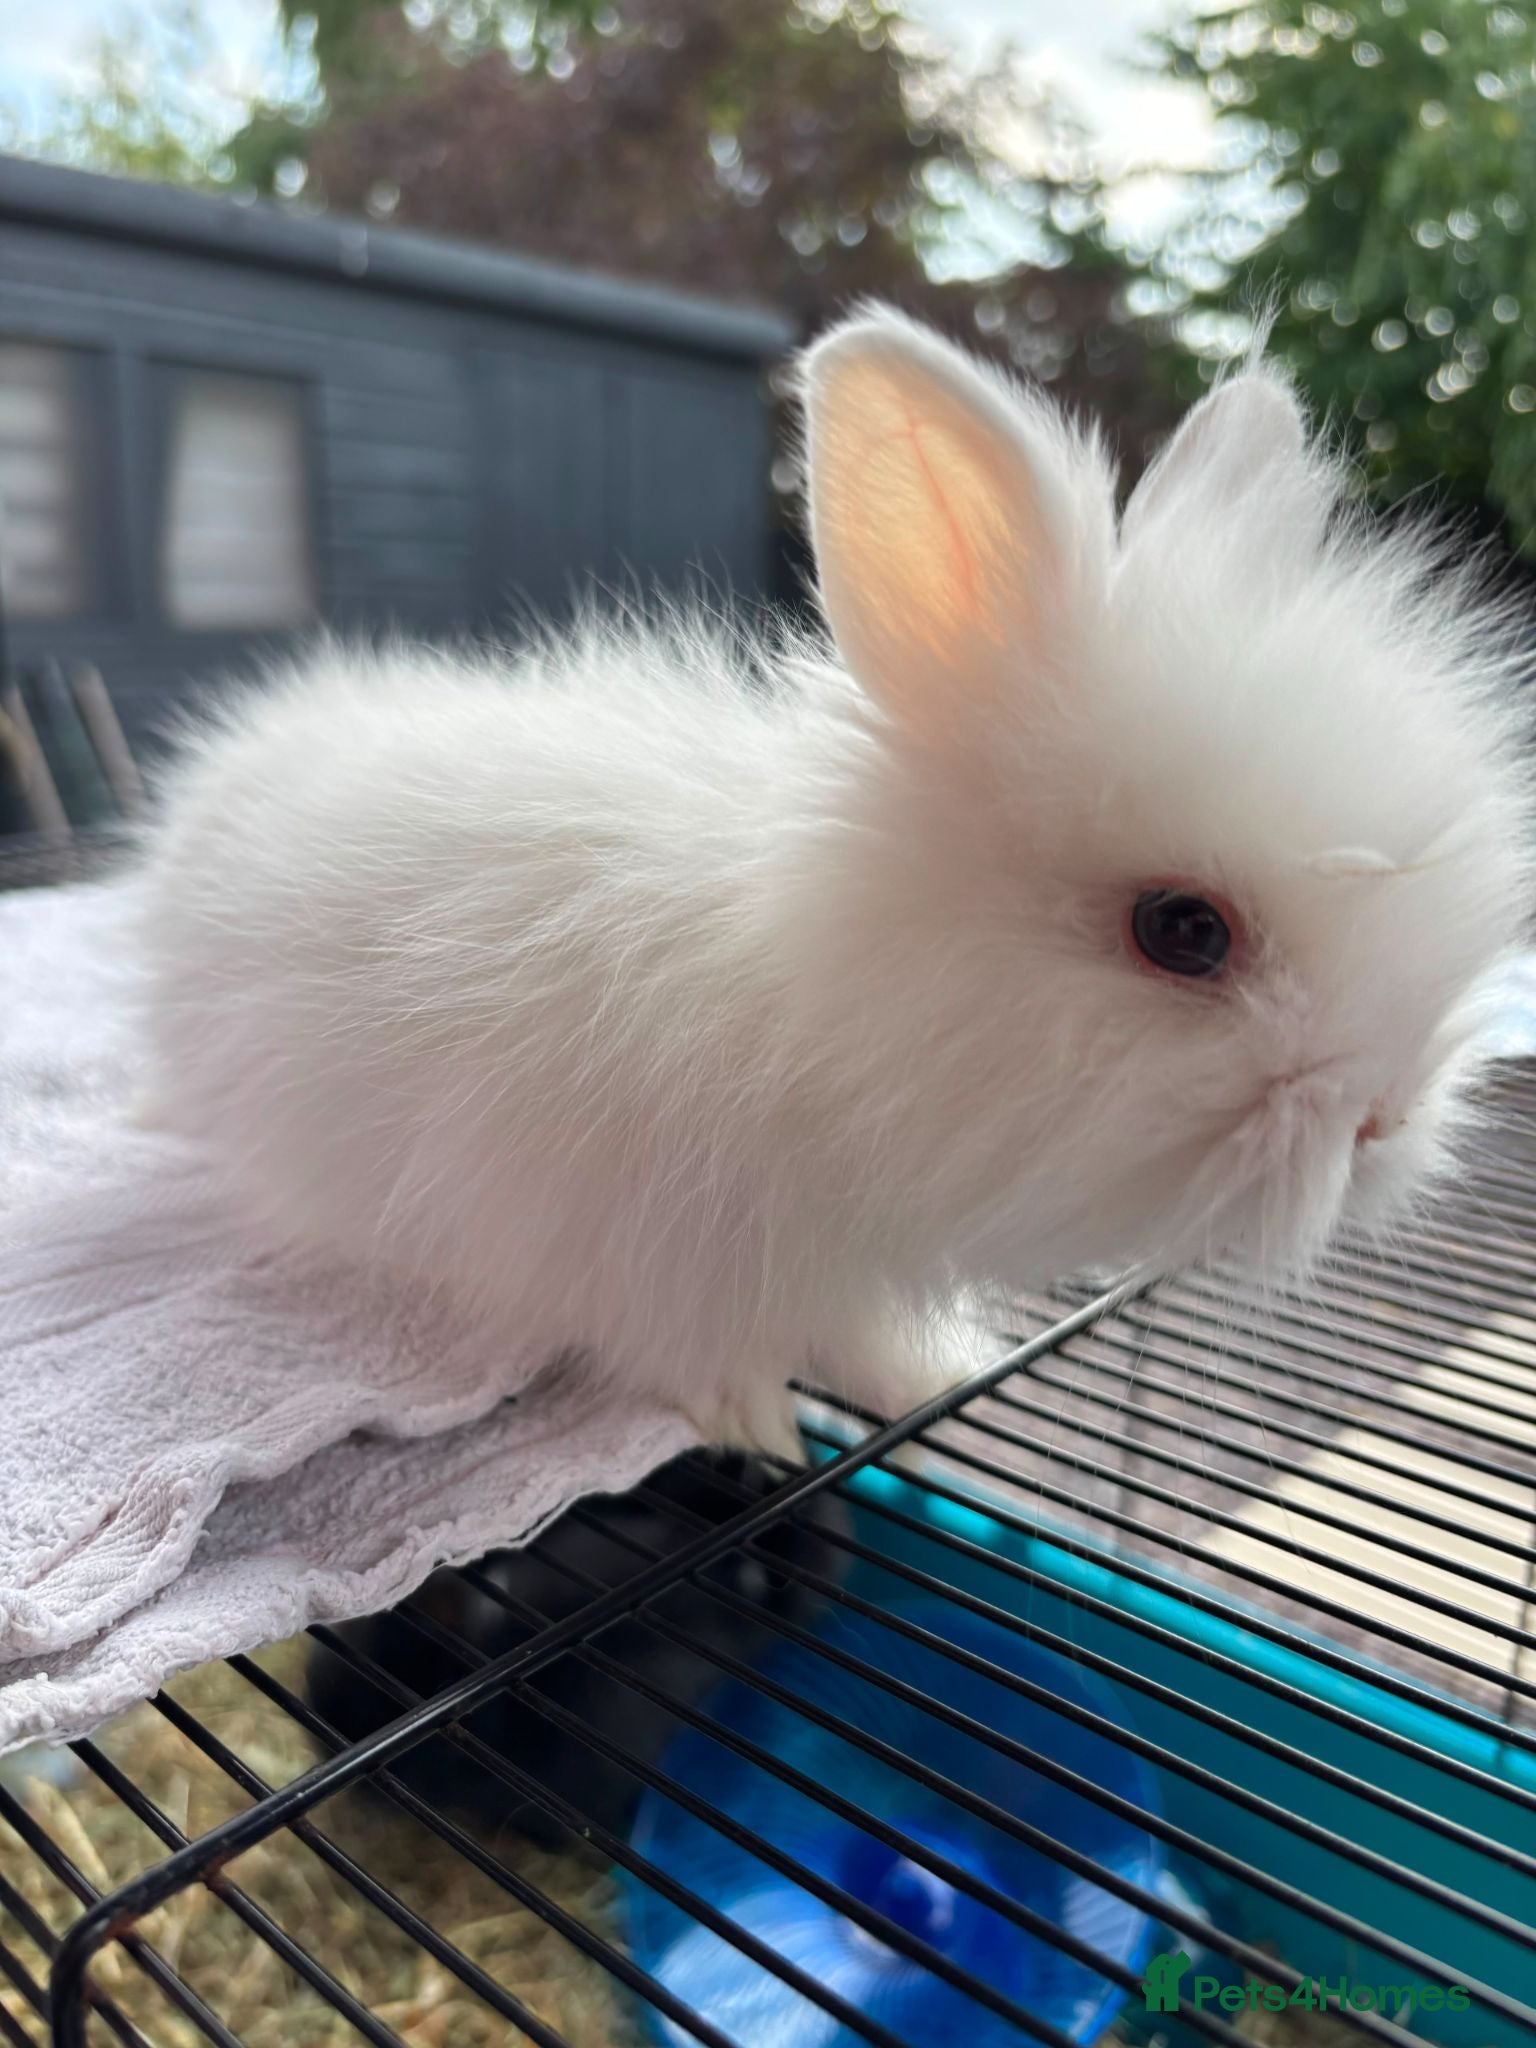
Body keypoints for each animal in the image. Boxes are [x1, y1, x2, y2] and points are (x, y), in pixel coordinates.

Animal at [137, 305, 1536, 1451]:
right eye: (1183, 929)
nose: (1387, 1117)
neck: (810, 1004)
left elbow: (865, 1338)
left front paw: (924, 1378)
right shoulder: (631, 1241)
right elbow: (685, 1347)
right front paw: (750, 1422)